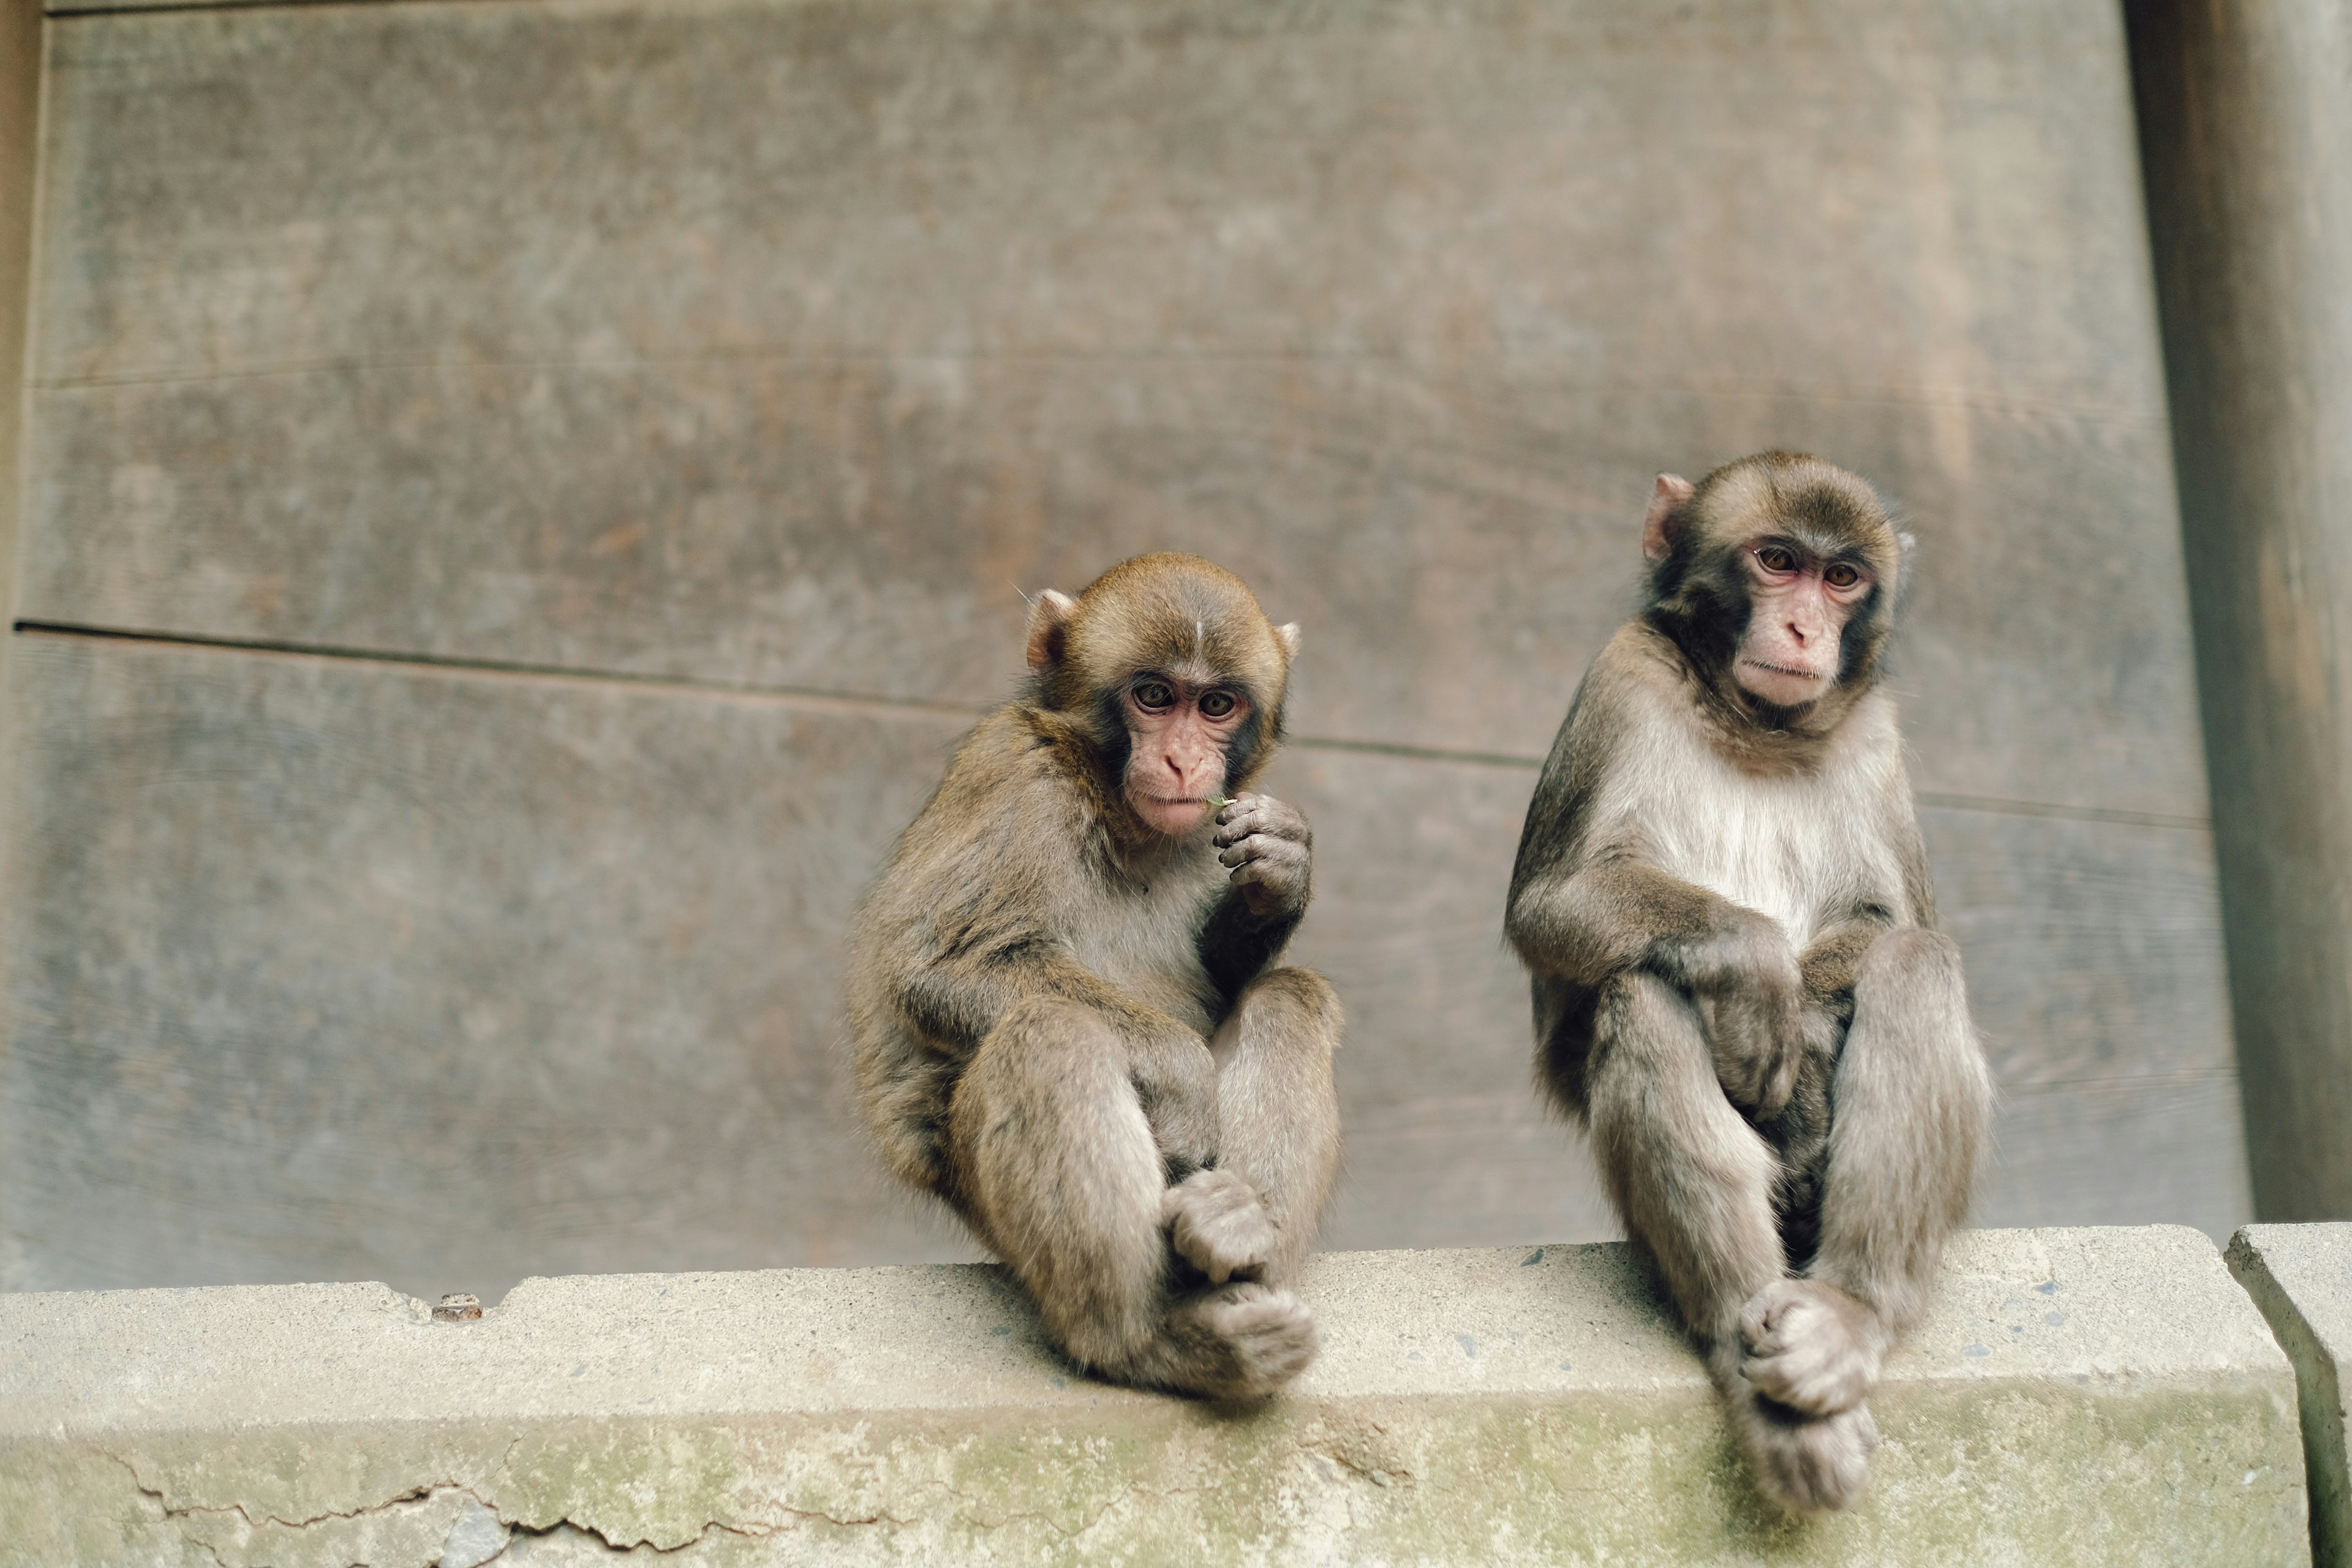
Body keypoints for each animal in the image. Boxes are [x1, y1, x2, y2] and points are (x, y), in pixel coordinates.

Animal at [856, 550, 1354, 1401]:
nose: (1185, 760)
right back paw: (1148, 1341)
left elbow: (1233, 969)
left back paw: (1238, 1233)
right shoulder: (1015, 775)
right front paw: (1183, 1078)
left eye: (1215, 704)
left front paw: (1285, 869)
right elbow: (935, 967)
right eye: (1154, 697)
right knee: (1050, 1029)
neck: (1114, 803)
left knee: (1289, 998)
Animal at [1514, 451, 1994, 1504]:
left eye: (1842, 577)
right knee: (1640, 992)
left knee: (1915, 966)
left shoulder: (1874, 734)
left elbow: (1898, 925)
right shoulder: (1622, 677)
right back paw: (1747, 1329)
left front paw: (1805, 1016)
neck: (1756, 726)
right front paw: (1757, 968)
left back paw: (1849, 1314)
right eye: (1778, 562)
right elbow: (1552, 907)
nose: (1806, 628)